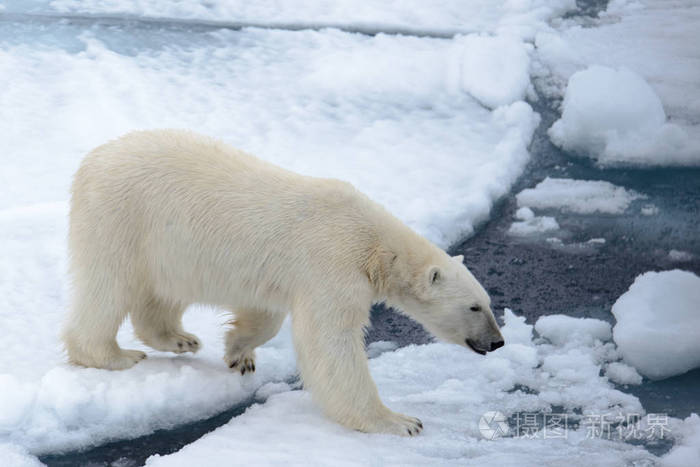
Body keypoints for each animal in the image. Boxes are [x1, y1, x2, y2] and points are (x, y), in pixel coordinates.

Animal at [61, 130, 504, 436]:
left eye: (487, 301)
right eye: (474, 306)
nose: (498, 342)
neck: (374, 243)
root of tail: (92, 159)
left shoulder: (283, 274)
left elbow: (265, 315)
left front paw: (239, 354)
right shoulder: (333, 264)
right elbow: (330, 343)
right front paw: (400, 421)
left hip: (167, 247)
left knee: (162, 293)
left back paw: (181, 339)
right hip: (123, 218)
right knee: (107, 286)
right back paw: (115, 355)